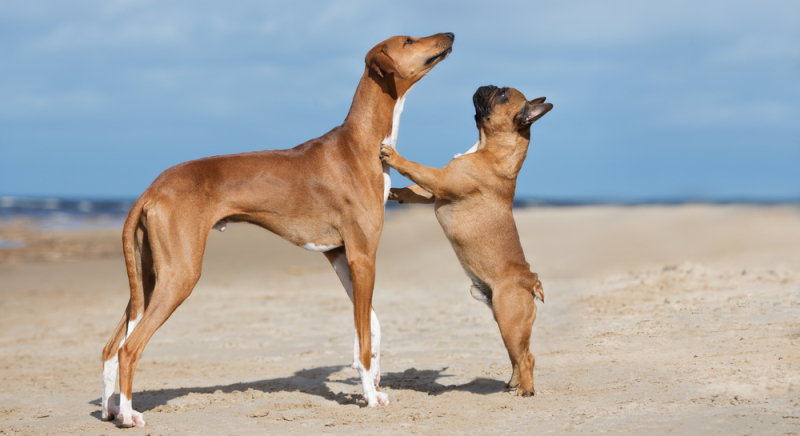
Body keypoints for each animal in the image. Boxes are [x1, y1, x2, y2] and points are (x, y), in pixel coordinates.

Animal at [101, 32, 454, 428]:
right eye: (409, 40)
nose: (451, 34)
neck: (361, 144)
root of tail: (151, 189)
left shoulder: (342, 257)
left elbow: (371, 324)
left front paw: (374, 382)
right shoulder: (363, 256)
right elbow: (364, 337)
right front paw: (369, 395)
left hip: (147, 279)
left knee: (111, 347)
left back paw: (110, 408)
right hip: (179, 275)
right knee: (129, 348)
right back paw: (128, 414)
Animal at [380, 84, 552, 396]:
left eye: (503, 95)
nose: (488, 85)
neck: (490, 148)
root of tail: (531, 280)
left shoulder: (440, 180)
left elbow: (416, 168)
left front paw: (394, 156)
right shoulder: (433, 192)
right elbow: (412, 190)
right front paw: (393, 192)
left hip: (510, 320)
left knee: (527, 357)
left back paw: (526, 390)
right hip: (505, 323)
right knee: (517, 355)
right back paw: (513, 383)